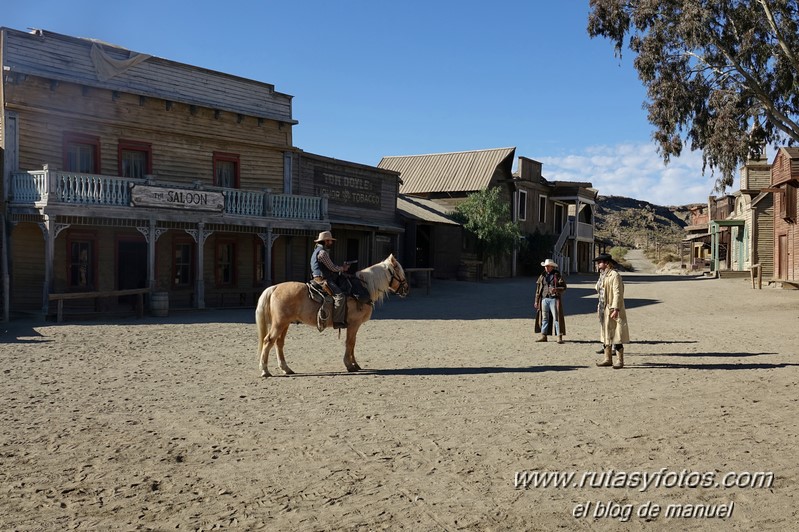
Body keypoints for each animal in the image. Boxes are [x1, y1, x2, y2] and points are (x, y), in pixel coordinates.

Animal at [256, 256, 410, 376]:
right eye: (399, 271)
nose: (407, 288)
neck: (363, 288)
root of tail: (275, 287)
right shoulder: (354, 324)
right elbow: (350, 343)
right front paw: (349, 365)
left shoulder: (354, 326)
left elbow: (353, 343)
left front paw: (355, 364)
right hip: (279, 323)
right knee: (268, 341)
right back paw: (265, 371)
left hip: (285, 324)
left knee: (279, 343)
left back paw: (286, 369)